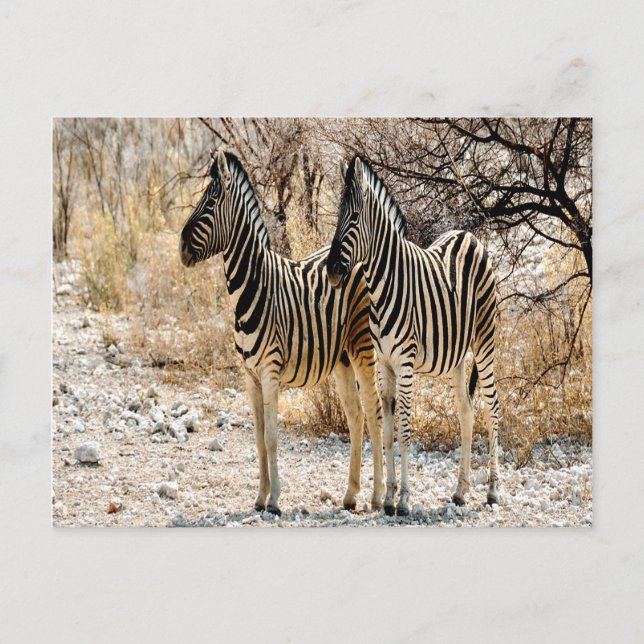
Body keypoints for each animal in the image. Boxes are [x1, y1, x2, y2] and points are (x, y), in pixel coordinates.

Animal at [180, 149, 384, 516]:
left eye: (211, 201)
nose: (181, 246)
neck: (251, 287)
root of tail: (362, 257)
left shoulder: (270, 370)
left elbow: (272, 437)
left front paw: (274, 499)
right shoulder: (249, 375)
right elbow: (259, 438)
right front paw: (260, 497)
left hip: (362, 348)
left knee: (373, 414)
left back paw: (376, 497)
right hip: (342, 358)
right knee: (355, 416)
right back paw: (350, 495)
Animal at [327, 156, 500, 516]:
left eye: (354, 216)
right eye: (337, 215)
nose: (332, 271)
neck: (383, 284)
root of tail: (469, 236)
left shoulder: (405, 363)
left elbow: (405, 428)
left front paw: (404, 499)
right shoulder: (384, 364)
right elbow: (387, 429)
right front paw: (389, 498)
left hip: (485, 340)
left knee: (492, 406)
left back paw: (492, 490)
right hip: (457, 355)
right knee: (466, 411)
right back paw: (460, 492)